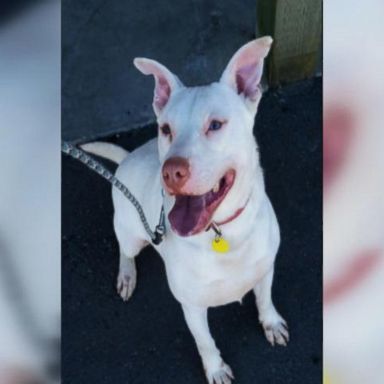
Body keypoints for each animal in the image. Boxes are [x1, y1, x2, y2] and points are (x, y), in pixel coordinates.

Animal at [83, 36, 288, 384]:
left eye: (215, 125)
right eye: (165, 129)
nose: (171, 171)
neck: (225, 233)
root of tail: (126, 160)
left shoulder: (265, 269)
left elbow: (265, 300)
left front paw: (271, 323)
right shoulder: (192, 305)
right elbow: (205, 341)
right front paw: (216, 369)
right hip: (130, 234)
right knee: (125, 251)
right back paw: (127, 275)